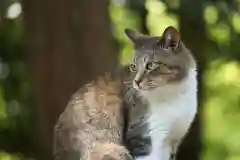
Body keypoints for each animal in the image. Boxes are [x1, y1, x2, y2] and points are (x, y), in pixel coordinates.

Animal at [53, 26, 197, 160]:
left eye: (150, 65)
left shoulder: (173, 141)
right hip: (112, 149)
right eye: (133, 67)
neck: (174, 92)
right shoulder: (143, 136)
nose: (136, 82)